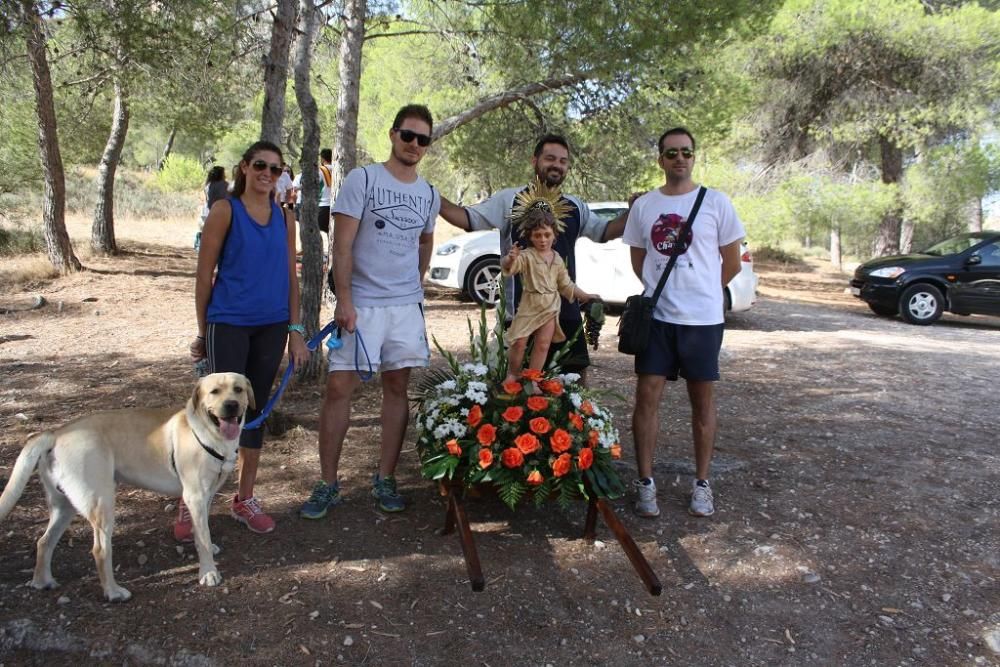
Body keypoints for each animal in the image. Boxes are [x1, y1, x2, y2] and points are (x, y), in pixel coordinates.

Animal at [0, 374, 254, 604]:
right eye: (214, 392)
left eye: (238, 389)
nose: (231, 405)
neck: (208, 432)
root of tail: (56, 432)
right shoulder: (195, 496)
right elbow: (203, 538)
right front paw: (208, 572)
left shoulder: (206, 496)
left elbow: (203, 531)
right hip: (102, 503)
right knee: (100, 550)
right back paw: (113, 592)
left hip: (64, 507)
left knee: (44, 542)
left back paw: (41, 581)